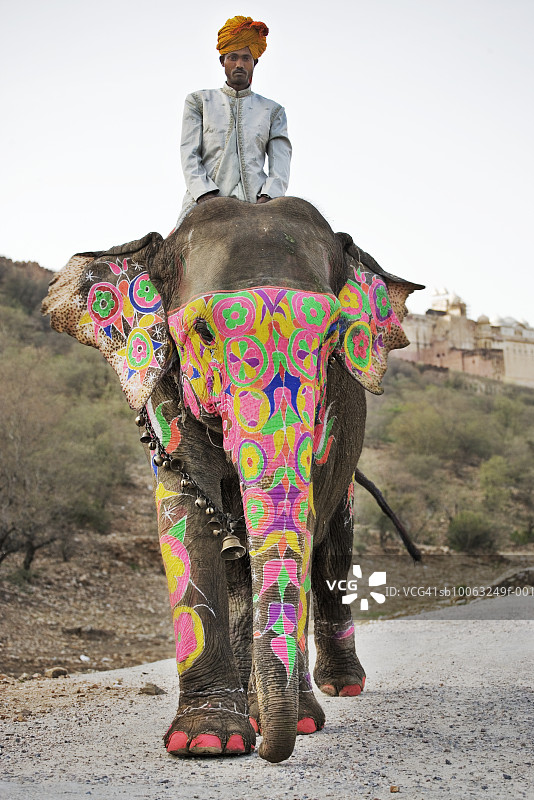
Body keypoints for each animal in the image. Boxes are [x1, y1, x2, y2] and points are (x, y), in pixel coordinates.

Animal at [42, 196, 423, 763]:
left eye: (331, 338)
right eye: (202, 333)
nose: (269, 747)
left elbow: (304, 522)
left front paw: (293, 722)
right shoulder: (165, 399)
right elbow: (184, 518)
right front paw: (207, 742)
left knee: (332, 546)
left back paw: (338, 688)